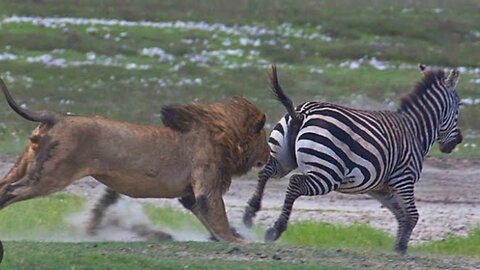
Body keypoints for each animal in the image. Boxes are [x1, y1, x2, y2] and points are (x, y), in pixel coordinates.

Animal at [0, 78, 270, 243]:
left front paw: (232, 237)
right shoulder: (207, 187)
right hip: (51, 174)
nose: (269, 154)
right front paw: (238, 241)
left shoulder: (189, 194)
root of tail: (56, 116)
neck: (223, 135)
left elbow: (210, 220)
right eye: (265, 139)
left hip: (26, 164)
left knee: (4, 184)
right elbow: (218, 216)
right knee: (12, 190)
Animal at [244, 65, 462, 253]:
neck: (415, 130)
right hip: (328, 174)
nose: (458, 141)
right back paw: (276, 229)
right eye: (459, 106)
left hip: (283, 159)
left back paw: (250, 213)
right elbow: (412, 215)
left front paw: (398, 247)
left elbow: (401, 214)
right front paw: (401, 248)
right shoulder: (404, 179)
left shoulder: (380, 188)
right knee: (295, 183)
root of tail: (303, 113)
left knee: (265, 172)